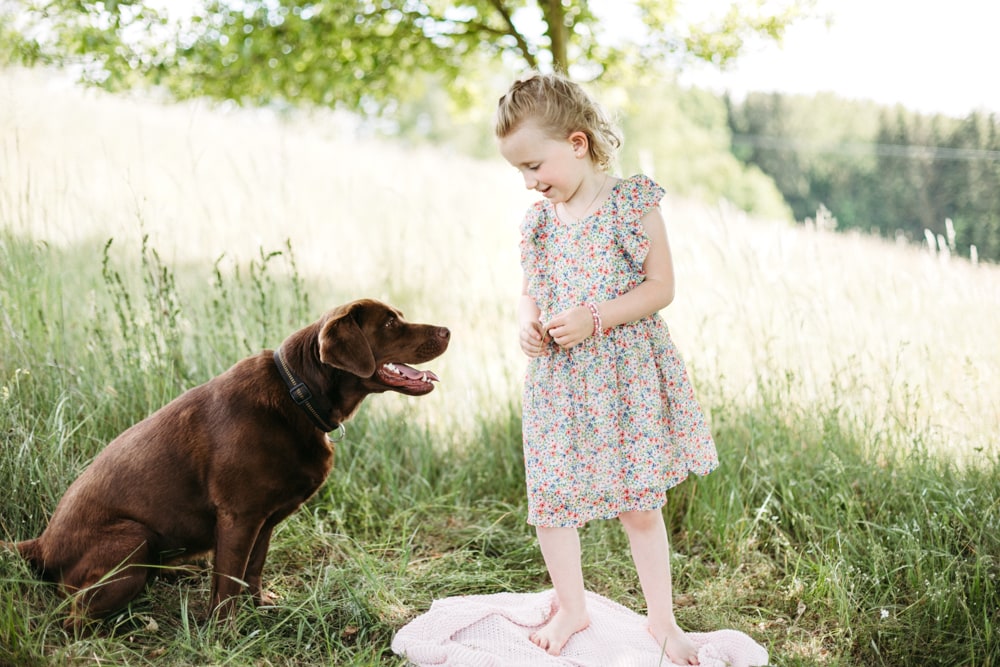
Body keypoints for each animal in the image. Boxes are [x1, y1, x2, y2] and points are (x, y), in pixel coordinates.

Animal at [4, 300, 450, 628]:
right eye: (390, 323)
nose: (447, 330)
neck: (299, 395)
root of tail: (40, 543)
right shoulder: (238, 516)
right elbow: (228, 580)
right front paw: (226, 631)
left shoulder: (263, 520)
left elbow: (251, 569)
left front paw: (260, 608)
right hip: (132, 537)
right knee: (72, 615)